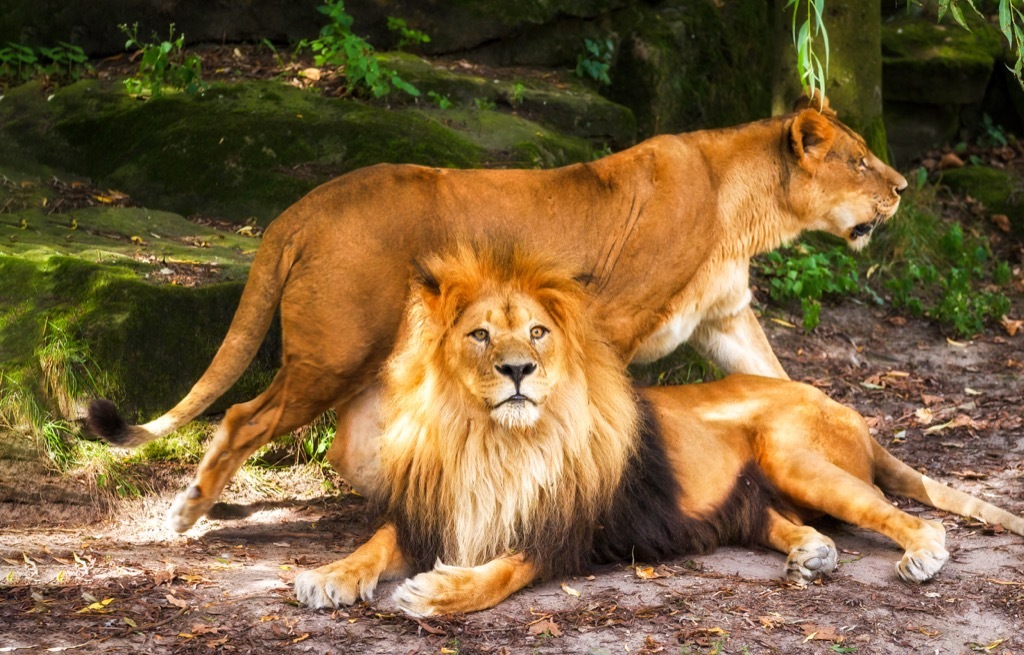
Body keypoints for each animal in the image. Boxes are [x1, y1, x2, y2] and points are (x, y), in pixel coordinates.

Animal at [86, 94, 908, 533]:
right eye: (860, 160)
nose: (902, 188)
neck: (744, 209)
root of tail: (305, 206)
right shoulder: (607, 319)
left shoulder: (725, 320)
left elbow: (785, 383)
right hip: (335, 350)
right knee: (243, 417)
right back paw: (189, 511)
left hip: (374, 359)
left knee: (346, 446)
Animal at [294, 246, 1024, 616]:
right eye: (479, 334)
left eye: (538, 331)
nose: (518, 370)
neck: (491, 441)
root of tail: (847, 408)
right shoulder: (434, 508)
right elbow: (375, 544)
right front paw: (327, 575)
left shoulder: (570, 528)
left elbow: (501, 570)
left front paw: (438, 591)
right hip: (752, 496)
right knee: (790, 523)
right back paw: (811, 554)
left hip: (793, 454)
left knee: (908, 516)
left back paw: (921, 554)